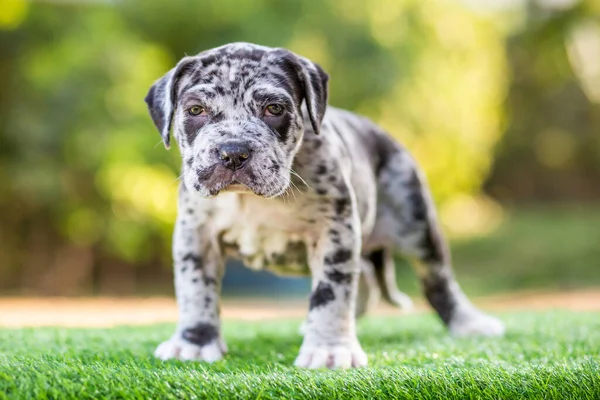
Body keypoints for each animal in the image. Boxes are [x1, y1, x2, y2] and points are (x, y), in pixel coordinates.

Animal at [145, 41, 506, 368]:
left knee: (437, 279)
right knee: (366, 279)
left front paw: (330, 348)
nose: (233, 151)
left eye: (274, 109)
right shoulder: (196, 236)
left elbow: (331, 293)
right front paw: (194, 342)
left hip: (416, 224)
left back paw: (469, 323)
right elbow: (196, 290)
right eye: (196, 110)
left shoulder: (334, 232)